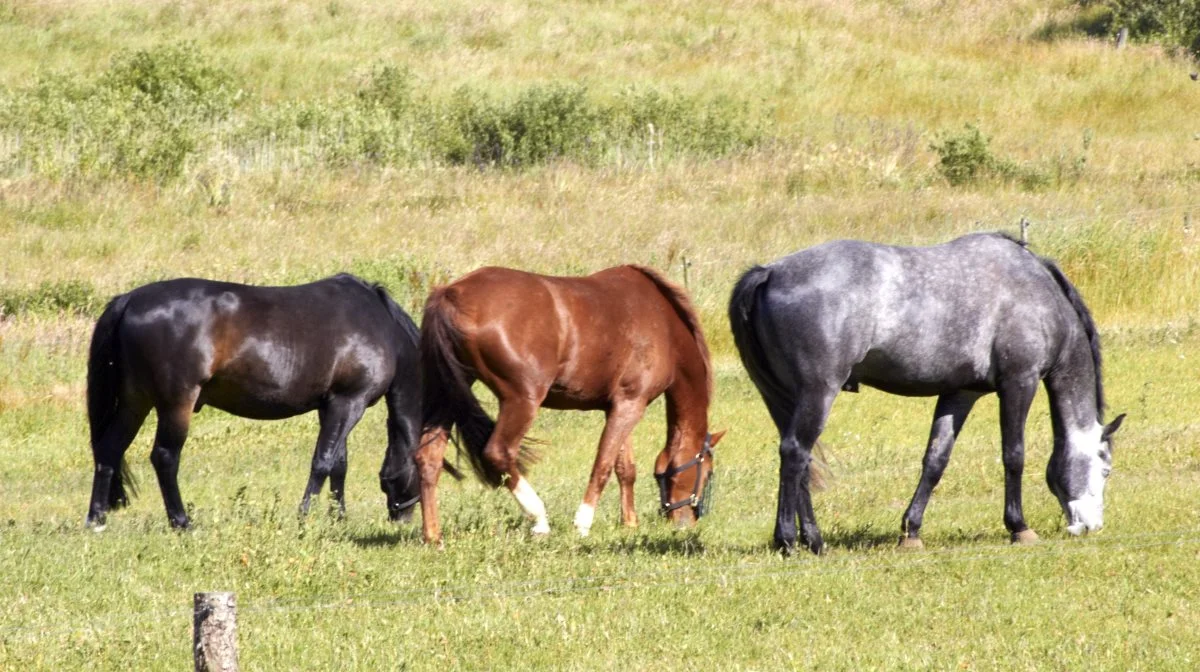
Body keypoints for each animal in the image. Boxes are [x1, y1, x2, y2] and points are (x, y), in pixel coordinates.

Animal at [84, 273, 424, 530]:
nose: (402, 517)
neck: (379, 326)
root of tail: (130, 300)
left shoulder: (331, 406)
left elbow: (339, 464)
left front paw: (337, 518)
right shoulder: (349, 402)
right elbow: (323, 462)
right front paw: (305, 516)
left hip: (134, 402)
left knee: (109, 449)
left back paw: (96, 519)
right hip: (175, 403)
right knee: (165, 457)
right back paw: (181, 521)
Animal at [412, 265, 720, 542]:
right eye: (706, 473)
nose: (685, 522)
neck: (664, 325)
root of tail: (451, 293)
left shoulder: (622, 406)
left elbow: (625, 468)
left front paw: (630, 523)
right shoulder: (630, 406)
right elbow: (603, 466)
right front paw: (583, 523)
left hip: (447, 396)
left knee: (428, 458)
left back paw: (433, 536)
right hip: (522, 400)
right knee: (498, 453)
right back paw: (539, 518)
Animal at [729, 234, 1123, 554]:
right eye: (1105, 468)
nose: (1092, 526)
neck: (1036, 292)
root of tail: (770, 272)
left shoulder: (959, 393)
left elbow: (935, 460)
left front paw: (911, 532)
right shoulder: (1018, 383)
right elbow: (1014, 455)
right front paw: (1019, 527)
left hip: (785, 399)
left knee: (800, 460)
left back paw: (812, 540)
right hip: (818, 393)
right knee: (795, 453)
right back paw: (789, 541)